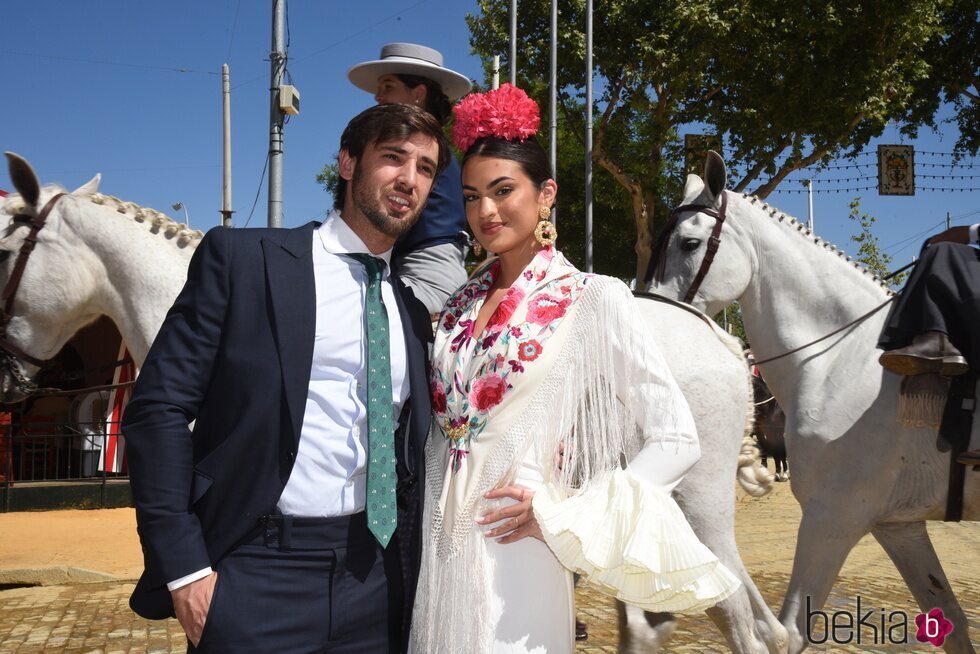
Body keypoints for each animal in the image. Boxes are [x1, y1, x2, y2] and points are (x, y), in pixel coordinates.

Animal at [652, 152, 980, 654]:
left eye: (690, 243)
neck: (846, 359)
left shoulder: (832, 519)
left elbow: (792, 632)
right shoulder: (897, 526)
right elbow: (953, 624)